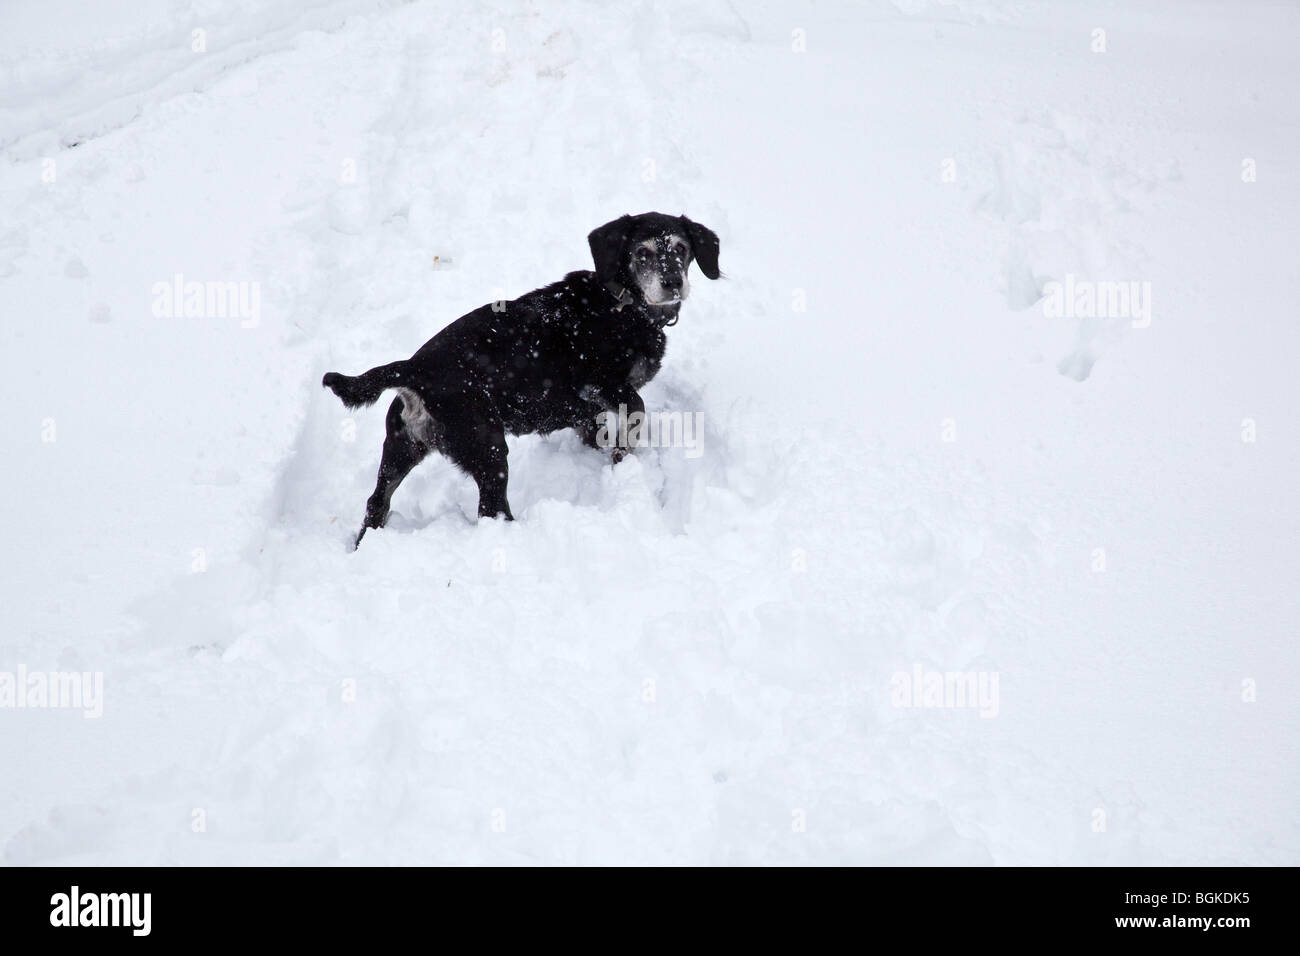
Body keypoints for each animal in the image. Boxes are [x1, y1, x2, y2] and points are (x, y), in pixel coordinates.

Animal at [319, 213, 717, 548]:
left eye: (681, 248)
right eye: (642, 253)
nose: (673, 282)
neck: (624, 305)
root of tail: (413, 370)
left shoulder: (586, 410)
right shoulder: (598, 383)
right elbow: (635, 408)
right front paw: (623, 455)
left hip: (400, 450)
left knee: (376, 503)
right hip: (489, 449)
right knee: (490, 511)